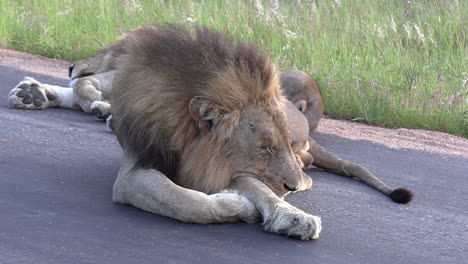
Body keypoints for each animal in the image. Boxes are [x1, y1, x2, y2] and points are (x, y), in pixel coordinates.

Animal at [8, 24, 414, 239]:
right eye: (264, 148)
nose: (72, 65)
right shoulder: (135, 170)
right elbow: (183, 201)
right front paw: (237, 206)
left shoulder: (236, 168)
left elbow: (257, 191)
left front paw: (291, 216)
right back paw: (36, 94)